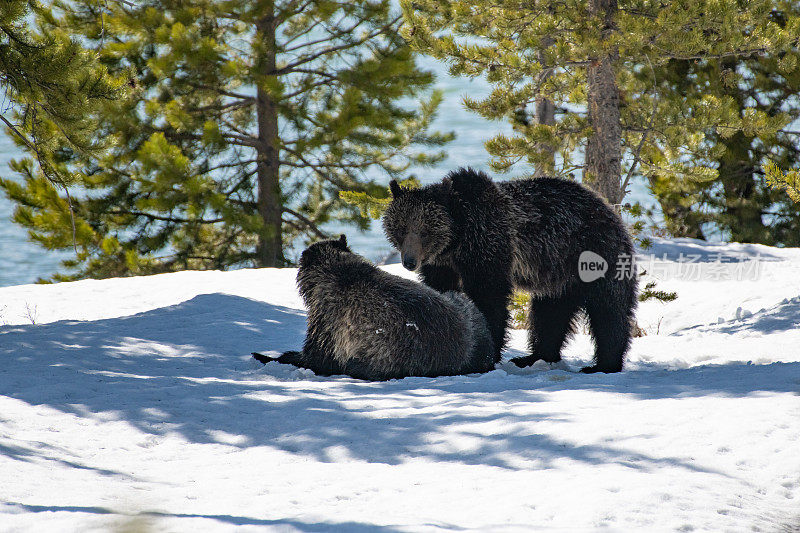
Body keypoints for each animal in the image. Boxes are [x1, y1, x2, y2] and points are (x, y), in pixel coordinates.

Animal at [384, 168, 640, 372]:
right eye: (401, 228)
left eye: (424, 231)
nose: (409, 261)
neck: (457, 240)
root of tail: (609, 210)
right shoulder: (442, 265)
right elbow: (441, 292)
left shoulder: (489, 246)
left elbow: (489, 299)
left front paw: (488, 351)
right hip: (559, 277)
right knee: (550, 314)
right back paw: (534, 357)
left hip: (594, 256)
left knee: (608, 311)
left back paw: (604, 364)